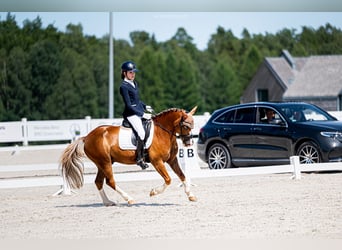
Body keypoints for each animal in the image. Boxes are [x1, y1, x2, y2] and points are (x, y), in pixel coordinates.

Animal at [60, 105, 196, 205]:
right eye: (185, 126)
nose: (189, 143)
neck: (162, 132)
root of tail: (87, 137)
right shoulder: (157, 161)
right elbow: (168, 179)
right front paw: (153, 192)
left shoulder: (172, 160)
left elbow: (182, 175)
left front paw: (191, 196)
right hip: (105, 162)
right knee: (110, 181)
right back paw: (129, 199)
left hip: (102, 163)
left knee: (99, 182)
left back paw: (108, 202)